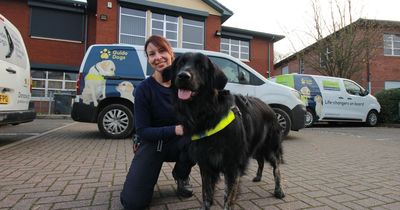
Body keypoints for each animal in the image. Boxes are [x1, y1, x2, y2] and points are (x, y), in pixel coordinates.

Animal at [163, 52, 284, 210]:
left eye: (201, 67)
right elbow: (206, 194)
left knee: (276, 167)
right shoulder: (205, 163)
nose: (183, 76)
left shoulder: (232, 166)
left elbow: (228, 198)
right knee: (261, 161)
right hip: (254, 147)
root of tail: (269, 107)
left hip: (269, 147)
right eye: (180, 64)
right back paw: (258, 176)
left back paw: (279, 190)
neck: (206, 113)